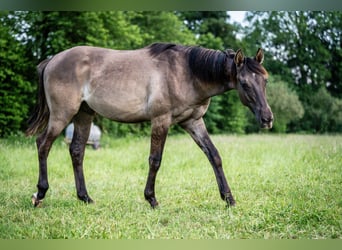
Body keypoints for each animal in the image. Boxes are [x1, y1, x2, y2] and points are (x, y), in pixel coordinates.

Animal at [26, 42, 272, 207]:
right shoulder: (161, 120)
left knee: (77, 151)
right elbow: (155, 160)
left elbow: (214, 156)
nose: (267, 119)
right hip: (62, 115)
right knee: (43, 145)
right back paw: (40, 194)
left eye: (265, 80)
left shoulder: (193, 121)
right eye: (244, 83)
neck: (186, 72)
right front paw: (151, 199)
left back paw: (85, 197)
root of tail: (52, 60)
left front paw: (229, 199)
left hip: (84, 115)